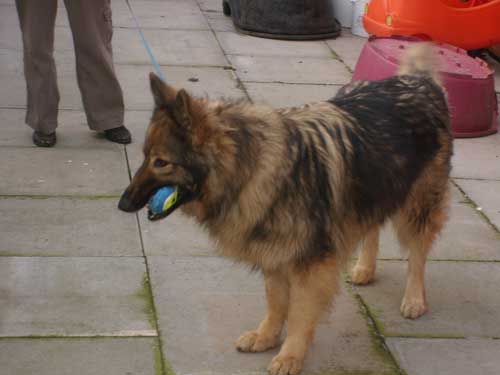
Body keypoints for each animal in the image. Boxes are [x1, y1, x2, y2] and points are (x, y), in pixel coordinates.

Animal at [120, 44, 454, 375]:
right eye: (145, 156)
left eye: (161, 162)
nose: (122, 204)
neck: (249, 165)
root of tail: (418, 81)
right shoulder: (276, 254)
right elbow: (276, 302)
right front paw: (266, 337)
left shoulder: (309, 263)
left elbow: (299, 313)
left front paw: (291, 355)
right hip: (372, 191)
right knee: (372, 227)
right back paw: (365, 269)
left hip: (418, 204)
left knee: (418, 252)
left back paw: (414, 298)